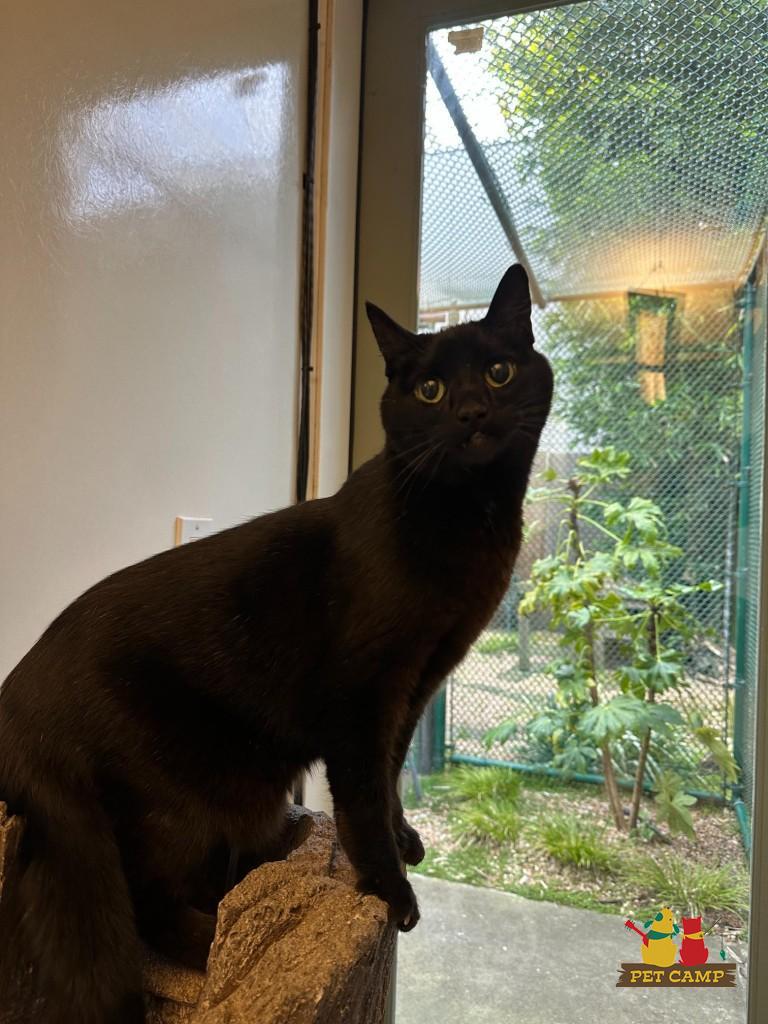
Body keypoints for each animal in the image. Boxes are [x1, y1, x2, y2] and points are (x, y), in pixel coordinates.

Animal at [0, 264, 552, 1024]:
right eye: (430, 391)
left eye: (499, 371)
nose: (471, 410)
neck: (469, 522)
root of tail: (18, 709)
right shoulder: (362, 696)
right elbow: (361, 796)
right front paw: (388, 892)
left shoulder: (414, 689)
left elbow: (388, 778)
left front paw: (404, 842)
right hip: (183, 800)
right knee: (148, 905)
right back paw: (232, 945)